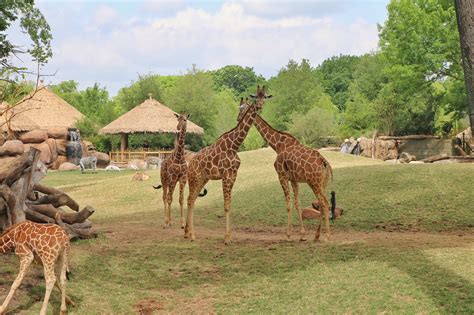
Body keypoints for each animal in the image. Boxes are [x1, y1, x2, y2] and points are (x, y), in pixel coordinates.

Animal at [185, 86, 272, 244]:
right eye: (256, 96)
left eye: (265, 96)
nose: (260, 106)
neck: (234, 145)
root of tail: (191, 163)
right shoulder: (225, 175)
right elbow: (225, 206)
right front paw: (226, 238)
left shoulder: (233, 175)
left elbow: (229, 204)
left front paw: (230, 236)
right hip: (194, 178)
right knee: (190, 199)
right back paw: (192, 235)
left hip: (202, 179)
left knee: (192, 199)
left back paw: (188, 233)